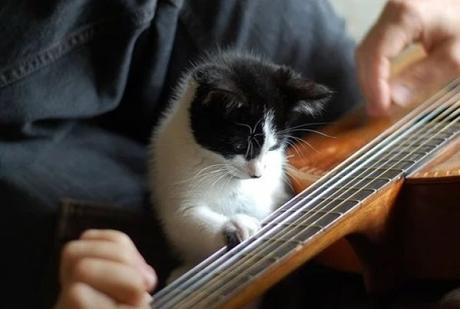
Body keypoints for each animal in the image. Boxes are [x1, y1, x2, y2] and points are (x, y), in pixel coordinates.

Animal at [149, 51, 332, 280]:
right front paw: (235, 227)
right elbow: (184, 218)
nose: (257, 174)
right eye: (240, 146)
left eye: (273, 147)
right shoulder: (175, 179)